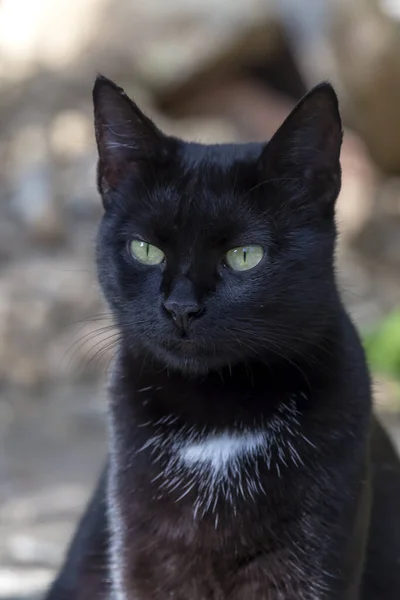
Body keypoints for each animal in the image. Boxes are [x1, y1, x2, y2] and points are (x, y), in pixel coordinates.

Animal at [44, 79, 400, 600]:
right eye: (145, 249)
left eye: (245, 256)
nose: (180, 307)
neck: (217, 416)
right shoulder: (144, 551)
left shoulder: (307, 558)